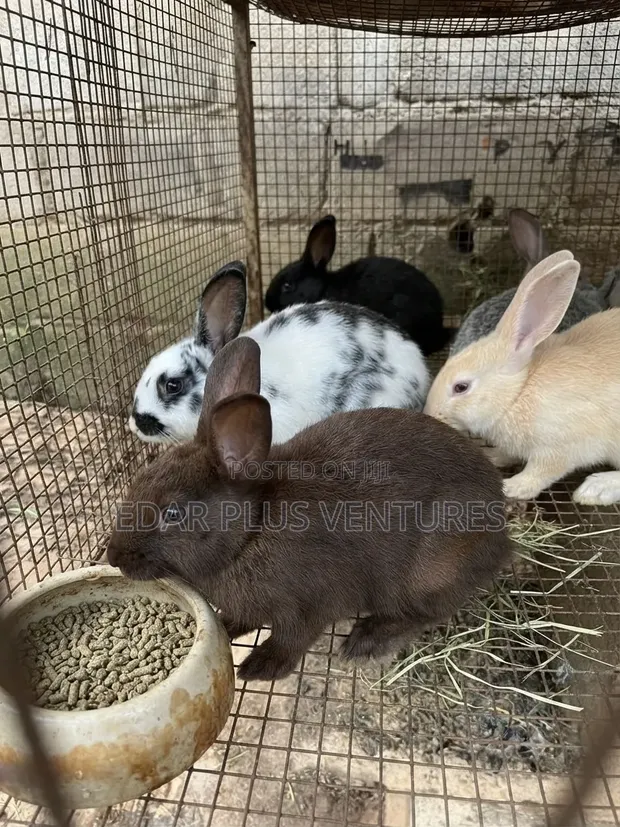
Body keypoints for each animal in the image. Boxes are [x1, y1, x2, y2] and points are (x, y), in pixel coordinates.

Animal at [109, 336, 512, 683]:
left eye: (173, 513)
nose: (114, 557)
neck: (250, 532)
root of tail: (501, 541)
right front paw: (226, 626)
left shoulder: (306, 607)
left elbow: (291, 640)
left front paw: (260, 666)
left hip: (429, 572)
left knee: (425, 613)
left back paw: (365, 640)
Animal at [424, 248, 620, 506]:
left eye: (461, 387)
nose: (429, 414)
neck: (518, 393)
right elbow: (508, 454)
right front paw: (491, 455)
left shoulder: (559, 449)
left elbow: (539, 473)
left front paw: (511, 486)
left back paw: (595, 489)